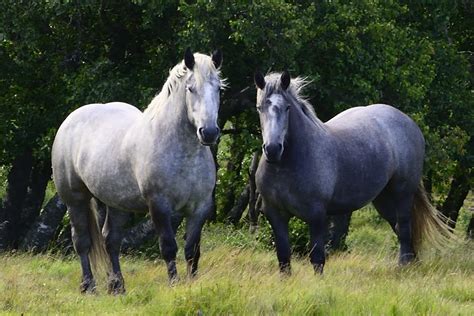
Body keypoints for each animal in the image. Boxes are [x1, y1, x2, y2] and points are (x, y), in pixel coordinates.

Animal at [52, 49, 223, 294]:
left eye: (218, 88)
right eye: (191, 88)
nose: (208, 132)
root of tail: (69, 121)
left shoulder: (200, 208)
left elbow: (192, 250)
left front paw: (192, 285)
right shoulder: (159, 205)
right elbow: (168, 247)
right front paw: (174, 285)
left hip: (117, 203)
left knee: (111, 241)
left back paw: (117, 286)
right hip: (74, 199)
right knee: (82, 241)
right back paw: (88, 286)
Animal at [254, 71, 454, 274]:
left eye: (287, 108)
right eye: (259, 108)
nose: (272, 149)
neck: (285, 166)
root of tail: (409, 122)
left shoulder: (316, 215)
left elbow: (317, 257)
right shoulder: (275, 215)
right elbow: (283, 257)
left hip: (403, 193)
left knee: (405, 227)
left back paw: (404, 267)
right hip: (383, 198)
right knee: (399, 227)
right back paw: (412, 264)